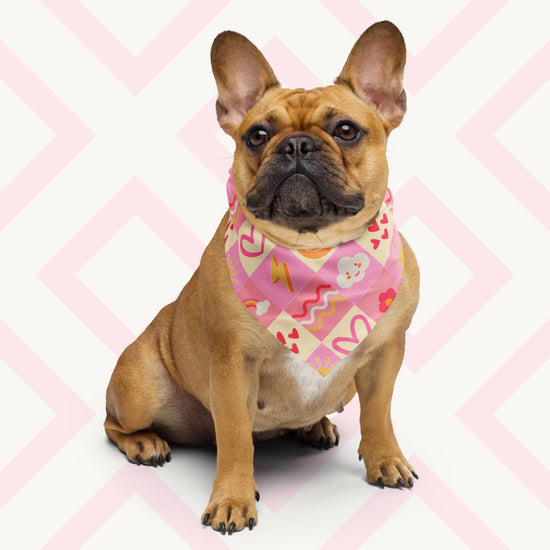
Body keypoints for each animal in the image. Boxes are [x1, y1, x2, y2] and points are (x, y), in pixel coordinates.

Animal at [105, 20, 420, 536]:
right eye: (256, 135)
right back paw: (145, 443)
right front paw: (233, 499)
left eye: (346, 130)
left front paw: (385, 460)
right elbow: (236, 439)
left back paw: (314, 425)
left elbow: (379, 414)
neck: (312, 250)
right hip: (140, 386)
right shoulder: (233, 366)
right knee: (115, 424)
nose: (295, 144)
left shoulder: (385, 353)